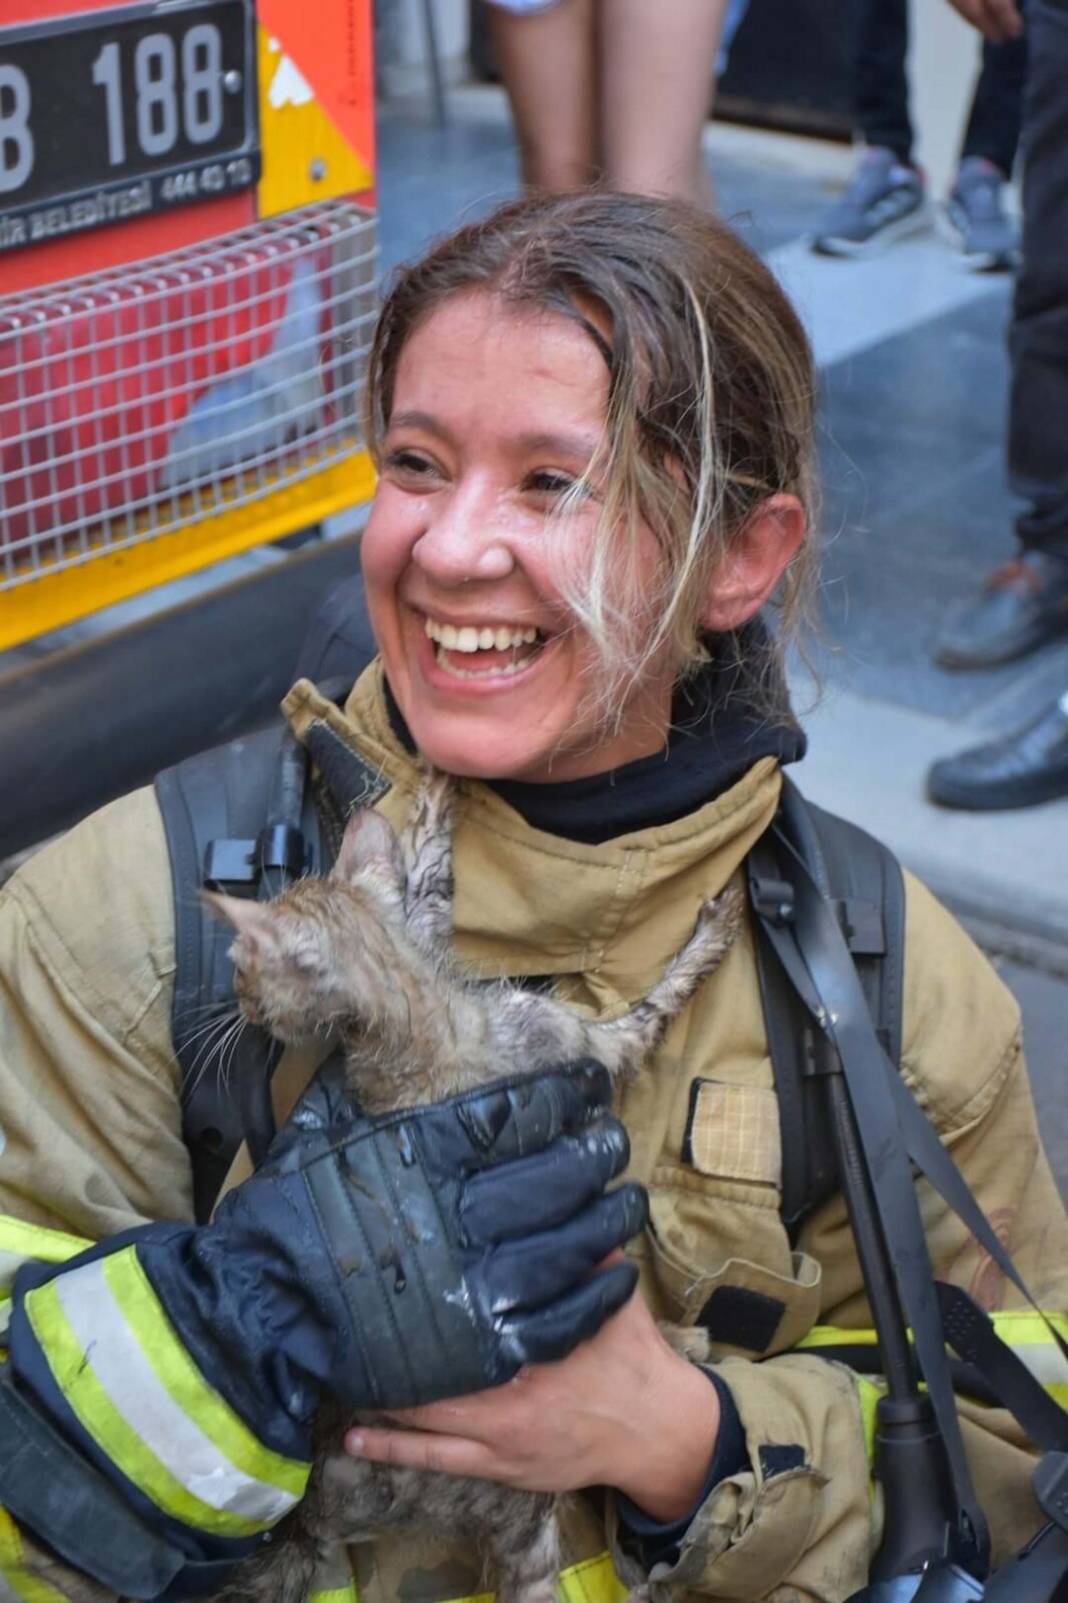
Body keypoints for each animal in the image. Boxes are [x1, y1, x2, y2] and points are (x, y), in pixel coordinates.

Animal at [208, 769, 740, 1596]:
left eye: (242, 969)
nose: (235, 1003)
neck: (418, 1017)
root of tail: (310, 1515)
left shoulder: (423, 934)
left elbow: (429, 884)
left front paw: (434, 799)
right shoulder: (585, 1045)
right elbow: (650, 1009)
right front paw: (704, 944)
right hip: (526, 1513)